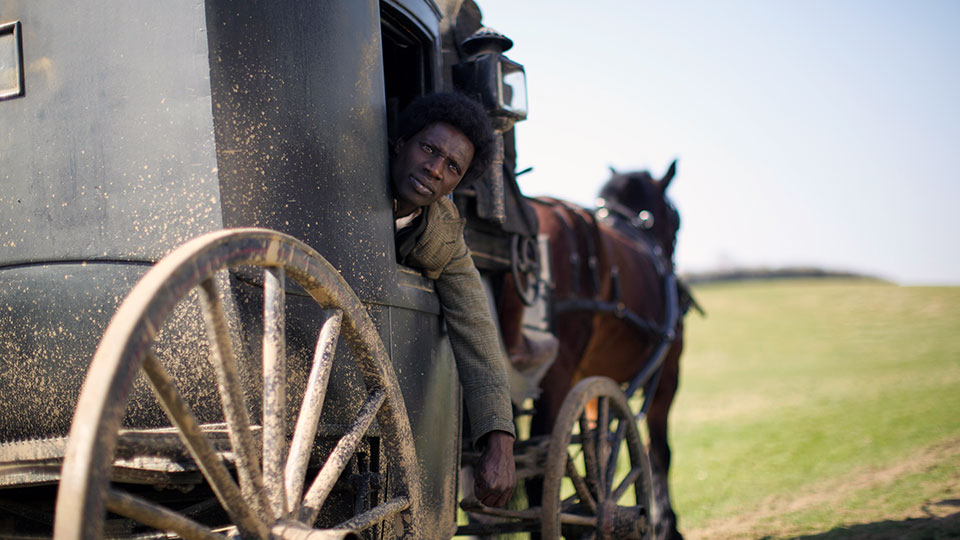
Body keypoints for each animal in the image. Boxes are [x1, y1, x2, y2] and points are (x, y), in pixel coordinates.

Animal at [502, 161, 688, 540]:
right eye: (676, 219)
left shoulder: (589, 382)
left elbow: (597, 445)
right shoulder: (668, 375)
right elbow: (658, 452)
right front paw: (666, 525)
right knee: (537, 481)